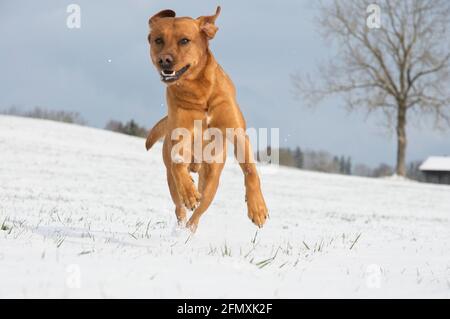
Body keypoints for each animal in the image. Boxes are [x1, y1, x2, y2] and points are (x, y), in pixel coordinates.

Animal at [146, 5, 268, 232]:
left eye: (184, 40)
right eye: (158, 40)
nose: (164, 60)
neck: (199, 94)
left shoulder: (237, 133)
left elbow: (250, 170)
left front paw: (257, 208)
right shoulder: (180, 136)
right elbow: (178, 164)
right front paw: (189, 192)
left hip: (211, 177)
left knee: (200, 210)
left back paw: (189, 229)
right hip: (172, 180)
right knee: (180, 205)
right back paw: (183, 221)